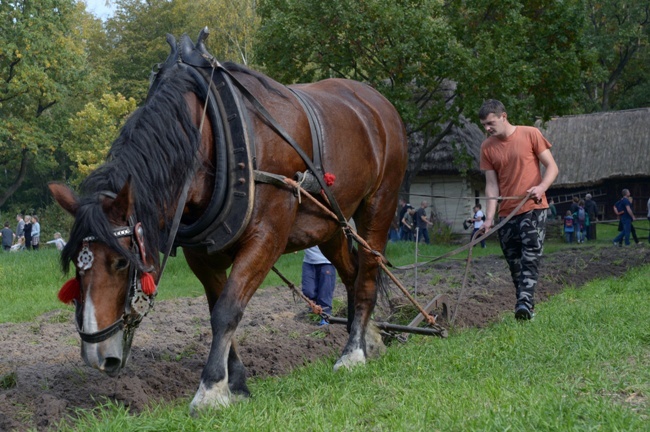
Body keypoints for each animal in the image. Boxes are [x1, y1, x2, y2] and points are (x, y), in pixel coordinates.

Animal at [49, 31, 404, 412]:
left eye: (119, 261)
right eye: (77, 264)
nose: (96, 355)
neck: (211, 132)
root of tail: (376, 102)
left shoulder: (267, 236)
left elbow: (228, 310)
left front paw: (210, 389)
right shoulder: (201, 253)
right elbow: (216, 309)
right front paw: (236, 382)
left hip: (379, 205)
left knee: (367, 275)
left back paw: (353, 354)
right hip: (329, 224)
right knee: (352, 274)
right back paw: (368, 339)